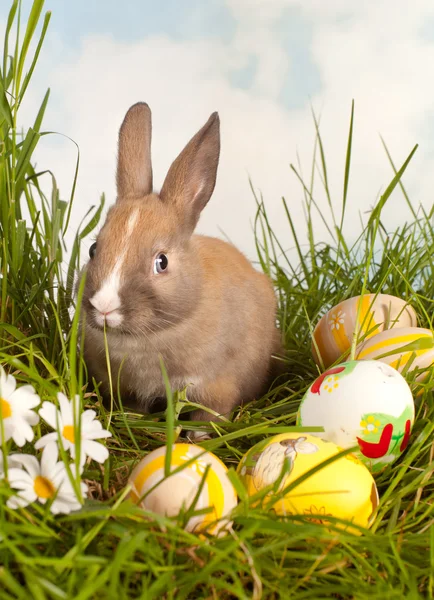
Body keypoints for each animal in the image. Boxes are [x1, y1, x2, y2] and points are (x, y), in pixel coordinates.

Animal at [80, 102, 284, 440]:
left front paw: (196, 439)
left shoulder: (216, 387)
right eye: (94, 249)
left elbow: (209, 416)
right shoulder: (127, 388)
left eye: (161, 262)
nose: (104, 306)